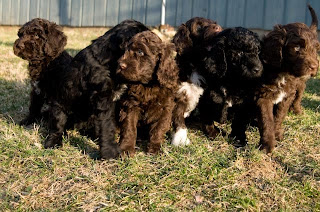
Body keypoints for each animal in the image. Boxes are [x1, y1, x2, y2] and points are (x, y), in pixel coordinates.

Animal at [42, 19, 149, 159]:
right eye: (141, 51)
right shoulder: (103, 98)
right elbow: (107, 125)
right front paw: (110, 152)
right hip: (59, 107)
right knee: (57, 127)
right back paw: (53, 142)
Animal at [258, 4, 320, 153]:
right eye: (296, 47)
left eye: (316, 49)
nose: (314, 67)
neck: (283, 73)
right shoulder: (263, 96)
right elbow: (267, 119)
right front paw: (267, 144)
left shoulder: (288, 95)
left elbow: (279, 115)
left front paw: (276, 134)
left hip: (301, 84)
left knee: (299, 94)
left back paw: (297, 110)